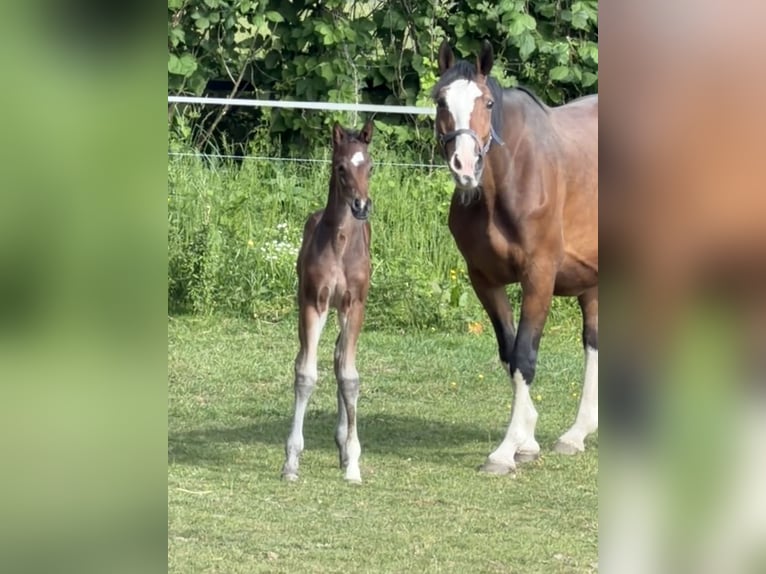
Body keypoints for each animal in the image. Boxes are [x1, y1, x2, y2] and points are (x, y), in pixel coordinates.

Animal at [281, 120, 374, 484]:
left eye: (370, 166)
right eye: (341, 167)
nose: (361, 206)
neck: (340, 243)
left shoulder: (354, 306)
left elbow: (350, 378)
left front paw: (353, 463)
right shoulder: (313, 303)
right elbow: (305, 375)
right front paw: (291, 461)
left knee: (339, 360)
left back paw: (344, 445)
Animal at [431, 40, 599, 475]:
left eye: (488, 103)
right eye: (440, 100)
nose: (464, 166)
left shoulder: (539, 275)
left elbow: (525, 354)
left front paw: (505, 450)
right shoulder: (484, 280)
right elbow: (509, 354)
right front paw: (527, 441)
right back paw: (577, 434)